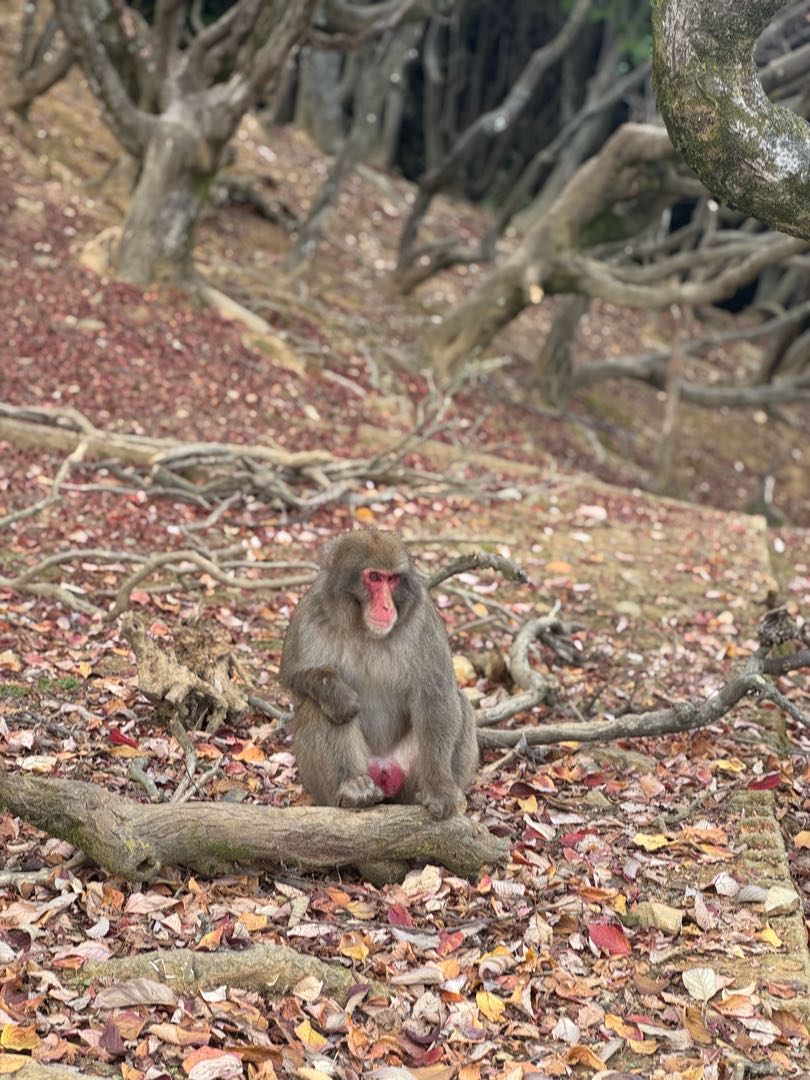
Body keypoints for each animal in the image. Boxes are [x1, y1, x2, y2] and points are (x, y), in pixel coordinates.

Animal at [279, 529, 479, 820]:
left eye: (392, 579)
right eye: (374, 577)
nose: (386, 607)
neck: (363, 629)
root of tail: (384, 767)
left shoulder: (423, 621)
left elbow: (436, 694)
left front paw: (439, 787)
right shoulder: (309, 614)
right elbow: (293, 676)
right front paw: (335, 692)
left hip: (408, 782)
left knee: (460, 702)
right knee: (318, 708)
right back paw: (353, 787)